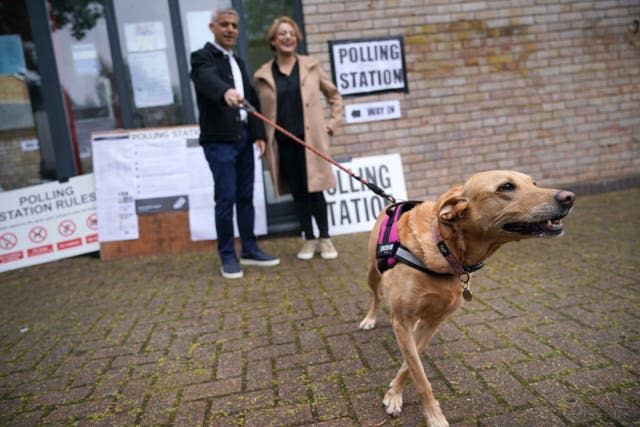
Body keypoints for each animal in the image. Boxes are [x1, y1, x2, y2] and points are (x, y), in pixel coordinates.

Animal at [360, 171, 576, 427]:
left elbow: (410, 365)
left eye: (534, 183)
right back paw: (369, 319)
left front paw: (395, 390)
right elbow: (420, 375)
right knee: (376, 296)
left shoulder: (432, 322)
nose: (569, 197)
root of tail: (391, 203)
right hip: (372, 273)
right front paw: (425, 412)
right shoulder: (402, 321)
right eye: (506, 187)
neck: (445, 249)